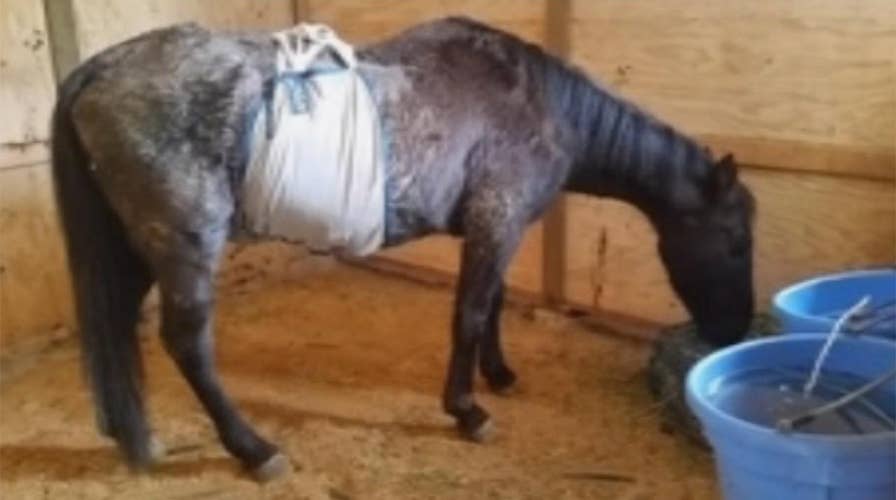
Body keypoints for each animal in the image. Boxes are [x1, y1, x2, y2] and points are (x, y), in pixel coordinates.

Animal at [50, 16, 756, 480]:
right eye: (732, 239)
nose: (733, 331)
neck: (541, 103)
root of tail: (97, 70)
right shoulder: (497, 219)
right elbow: (470, 314)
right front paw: (467, 411)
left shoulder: (495, 226)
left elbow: (493, 304)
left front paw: (498, 375)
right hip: (185, 242)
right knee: (187, 343)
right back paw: (254, 450)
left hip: (133, 251)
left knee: (119, 326)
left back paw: (134, 435)